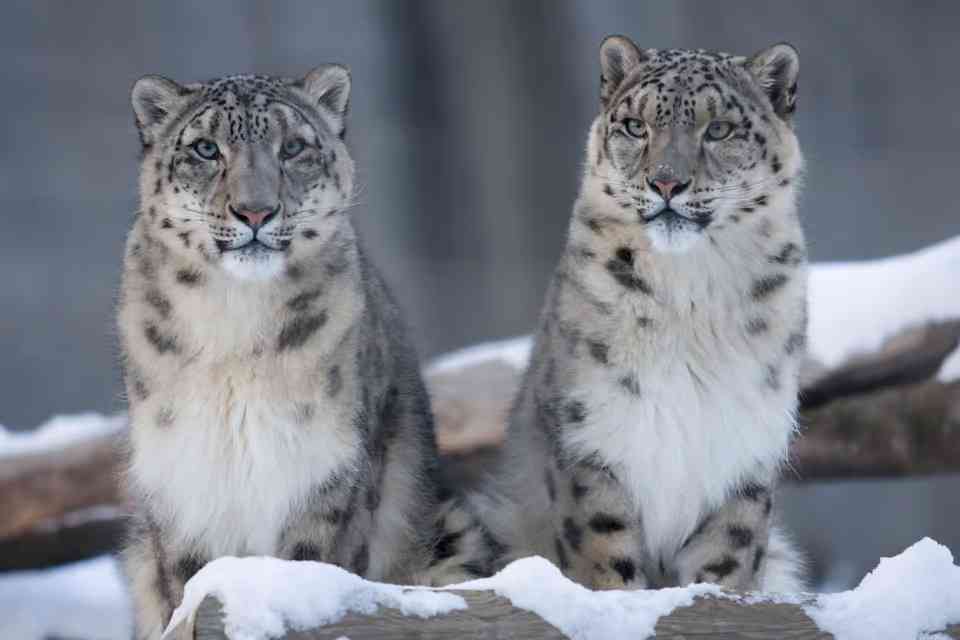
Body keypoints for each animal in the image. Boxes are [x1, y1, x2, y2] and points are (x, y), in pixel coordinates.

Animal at [118, 65, 444, 638]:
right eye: (205, 148)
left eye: (292, 147)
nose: (255, 210)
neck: (234, 325)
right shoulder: (184, 476)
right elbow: (186, 583)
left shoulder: (326, 472)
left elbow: (310, 562)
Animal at [431, 36, 808, 593]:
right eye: (635, 125)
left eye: (719, 129)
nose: (666, 183)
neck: (691, 295)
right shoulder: (590, 436)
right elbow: (605, 549)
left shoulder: (745, 448)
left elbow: (727, 559)